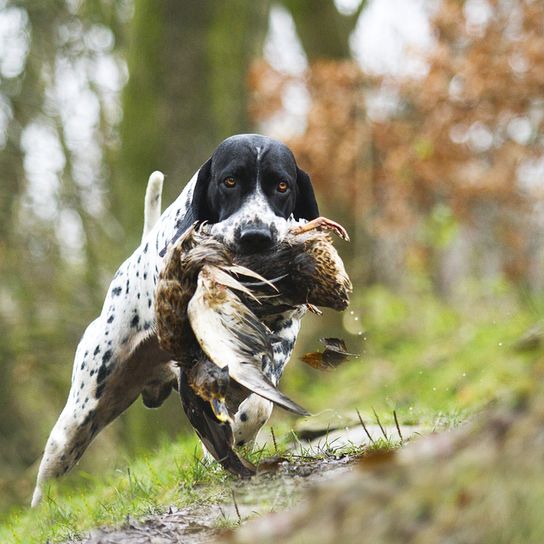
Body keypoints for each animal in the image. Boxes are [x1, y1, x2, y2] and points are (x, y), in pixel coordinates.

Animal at [31, 133, 318, 506]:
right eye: (230, 181)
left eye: (282, 185)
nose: (255, 236)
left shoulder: (281, 334)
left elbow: (257, 405)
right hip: (77, 420)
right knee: (48, 481)